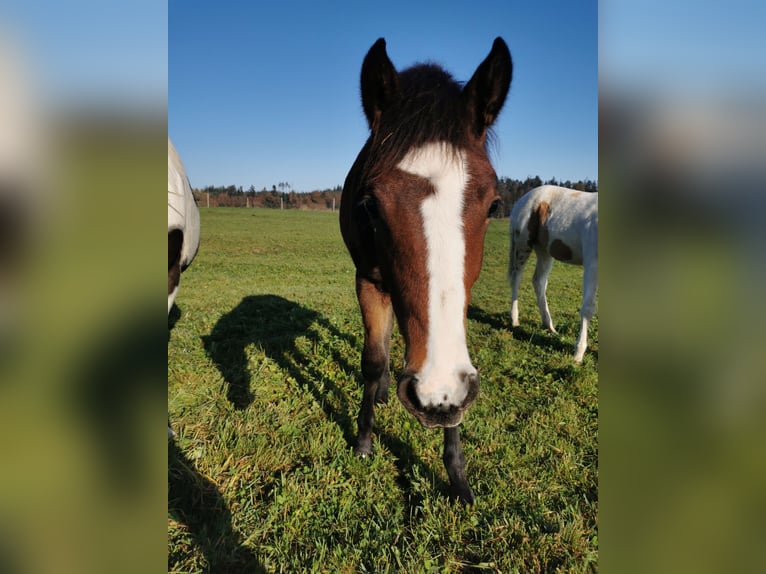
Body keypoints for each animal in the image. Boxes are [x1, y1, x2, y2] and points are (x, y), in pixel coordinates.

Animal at [340, 37, 512, 504]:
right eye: (370, 204)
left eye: (494, 205)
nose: (437, 393)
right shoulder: (369, 281)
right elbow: (373, 360)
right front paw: (364, 440)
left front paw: (457, 474)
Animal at [508, 185, 598, 363]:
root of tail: (522, 198)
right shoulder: (592, 263)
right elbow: (588, 308)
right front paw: (578, 354)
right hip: (523, 245)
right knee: (517, 278)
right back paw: (515, 320)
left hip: (544, 251)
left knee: (539, 281)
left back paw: (549, 326)